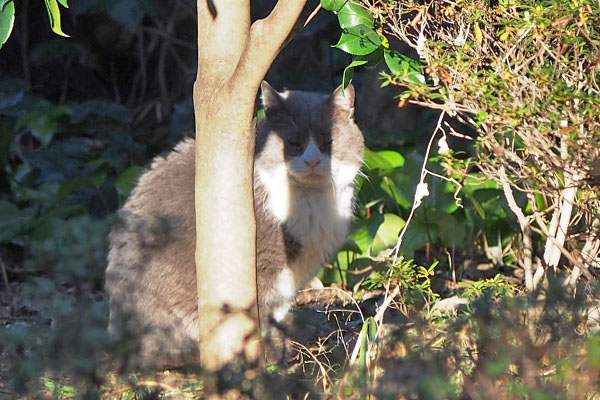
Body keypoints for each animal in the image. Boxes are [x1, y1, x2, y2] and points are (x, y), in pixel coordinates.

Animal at [105, 81, 364, 366]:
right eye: (293, 143)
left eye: (329, 143)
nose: (313, 160)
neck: (312, 201)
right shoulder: (264, 263)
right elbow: (262, 309)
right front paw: (267, 355)